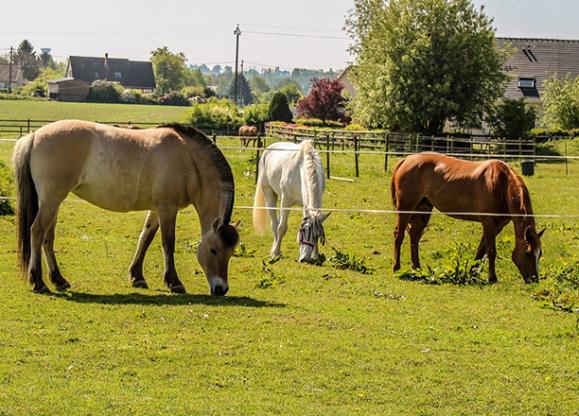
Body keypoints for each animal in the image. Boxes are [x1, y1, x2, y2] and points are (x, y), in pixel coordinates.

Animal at [13, 119, 240, 296]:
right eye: (213, 250)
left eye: (231, 252)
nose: (221, 289)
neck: (188, 158)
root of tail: (34, 135)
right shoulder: (168, 208)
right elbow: (168, 243)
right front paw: (174, 282)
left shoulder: (156, 209)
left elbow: (145, 238)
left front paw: (137, 277)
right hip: (52, 199)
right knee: (37, 232)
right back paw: (39, 282)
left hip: (53, 201)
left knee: (47, 238)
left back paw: (59, 280)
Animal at [392, 151, 548, 284]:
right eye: (528, 253)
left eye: (539, 254)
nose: (534, 280)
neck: (500, 183)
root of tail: (406, 159)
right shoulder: (488, 223)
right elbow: (491, 251)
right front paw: (492, 278)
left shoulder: (496, 226)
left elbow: (481, 250)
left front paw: (471, 273)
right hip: (406, 208)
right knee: (399, 235)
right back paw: (396, 267)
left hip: (423, 209)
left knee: (414, 236)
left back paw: (417, 268)